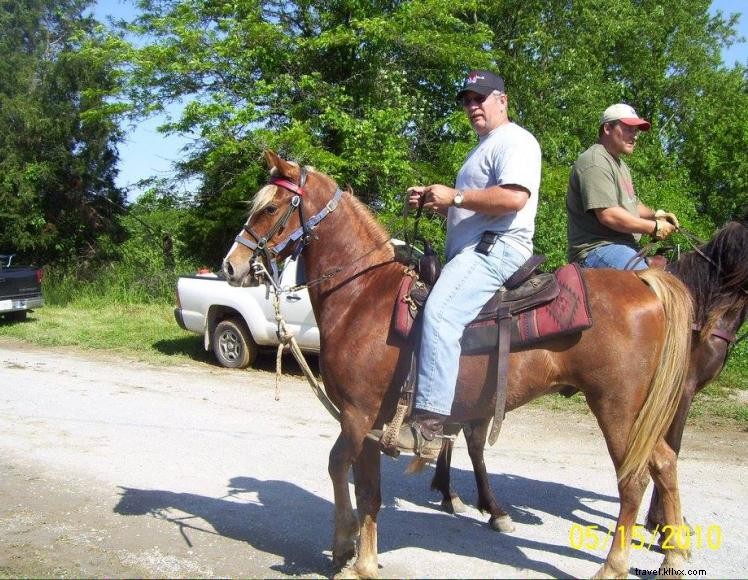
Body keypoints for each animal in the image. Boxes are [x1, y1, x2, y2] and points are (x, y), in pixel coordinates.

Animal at [222, 152, 696, 576]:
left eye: (269, 208)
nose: (231, 266)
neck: (362, 295)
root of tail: (644, 283)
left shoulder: (360, 415)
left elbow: (351, 476)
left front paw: (353, 555)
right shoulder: (366, 419)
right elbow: (358, 481)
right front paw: (355, 550)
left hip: (618, 407)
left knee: (634, 479)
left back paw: (613, 566)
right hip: (638, 412)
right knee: (665, 462)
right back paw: (673, 555)